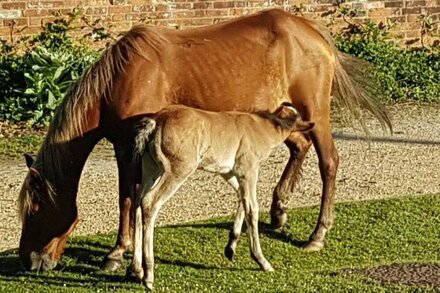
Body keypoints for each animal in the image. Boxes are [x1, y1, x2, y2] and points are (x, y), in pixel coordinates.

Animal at [131, 102, 312, 288]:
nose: (307, 134)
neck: (262, 126)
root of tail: (156, 122)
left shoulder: (229, 172)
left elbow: (242, 198)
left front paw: (230, 248)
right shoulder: (248, 170)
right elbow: (252, 208)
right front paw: (261, 261)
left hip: (151, 169)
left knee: (137, 202)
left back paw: (137, 270)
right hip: (178, 169)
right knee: (149, 202)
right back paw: (148, 275)